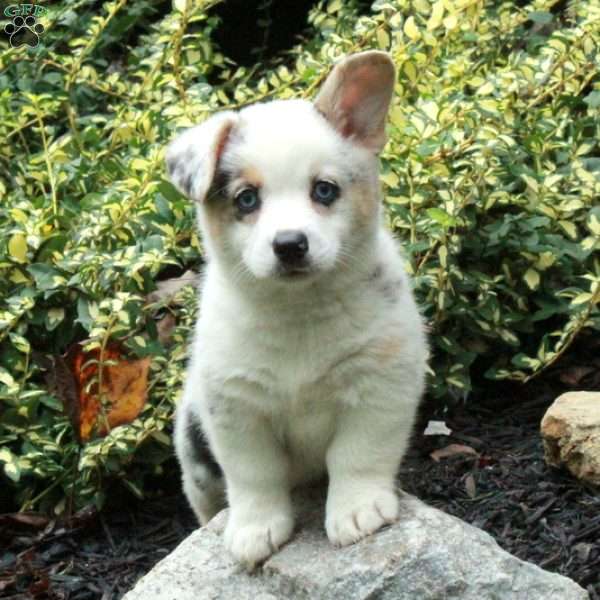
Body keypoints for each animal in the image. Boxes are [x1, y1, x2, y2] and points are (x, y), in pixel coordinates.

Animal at [166, 50, 428, 568]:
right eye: (247, 199)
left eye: (324, 190)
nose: (289, 244)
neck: (299, 309)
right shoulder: (236, 406)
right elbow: (254, 476)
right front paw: (254, 531)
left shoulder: (379, 384)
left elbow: (357, 455)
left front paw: (357, 512)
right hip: (193, 453)